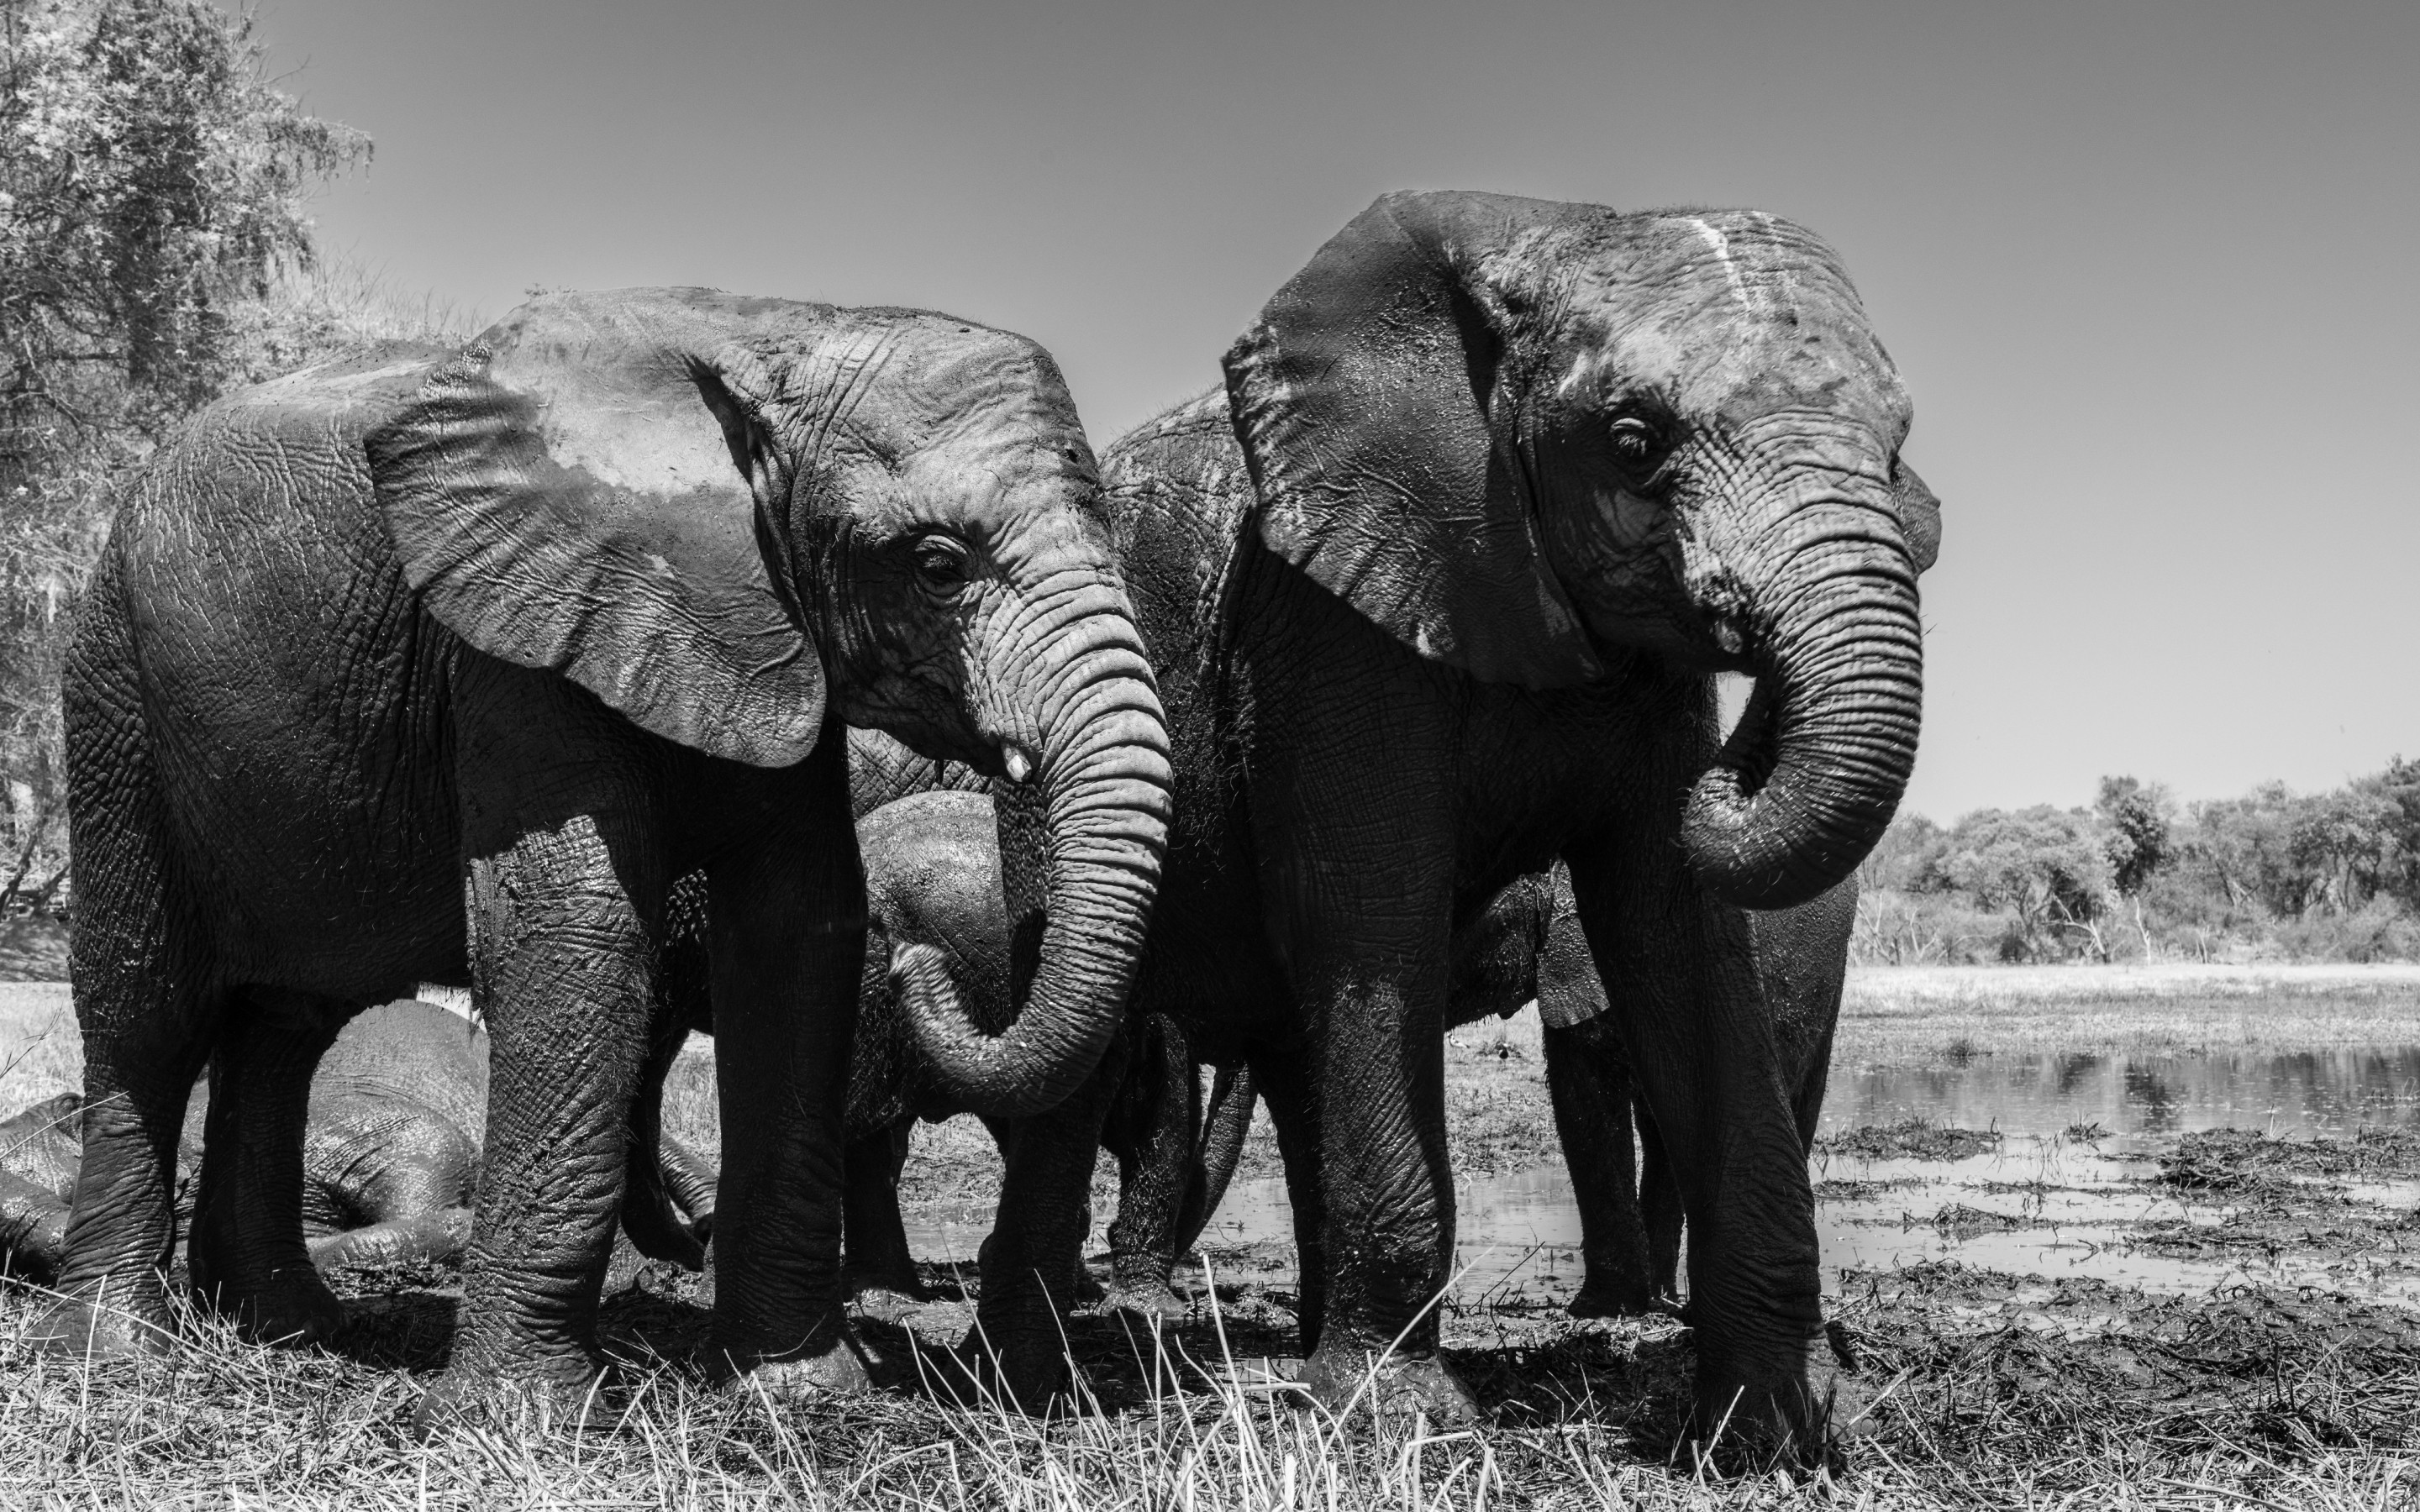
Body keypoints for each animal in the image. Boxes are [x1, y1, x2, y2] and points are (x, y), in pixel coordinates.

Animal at [886, 188, 1926, 1452]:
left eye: (1898, 443)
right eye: (1634, 440)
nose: (1751, 731)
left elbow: (1679, 938)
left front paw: (1782, 1430)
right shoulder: (1326, 620)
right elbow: (1374, 915)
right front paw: (1398, 1426)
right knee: (1075, 1058)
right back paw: (1030, 1395)